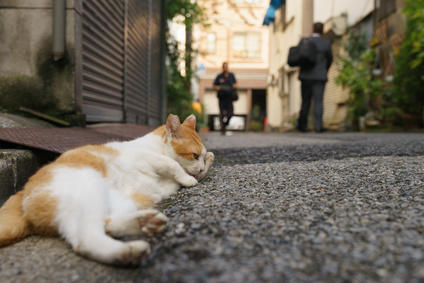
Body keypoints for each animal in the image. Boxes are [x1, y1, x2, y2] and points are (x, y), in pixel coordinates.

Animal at [0, 115, 214, 266]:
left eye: (201, 156)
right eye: (194, 155)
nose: (200, 167)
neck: (154, 146)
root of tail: (22, 192)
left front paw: (207, 163)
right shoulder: (146, 157)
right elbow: (172, 164)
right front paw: (189, 178)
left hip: (124, 201)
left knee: (107, 223)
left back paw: (144, 223)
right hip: (88, 191)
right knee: (86, 238)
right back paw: (130, 251)